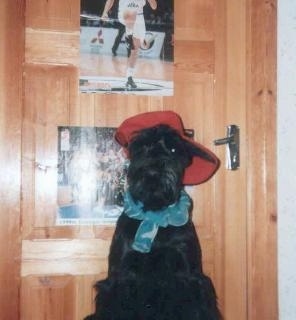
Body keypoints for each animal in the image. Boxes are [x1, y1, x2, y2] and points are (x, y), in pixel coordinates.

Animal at [85, 112, 222, 320]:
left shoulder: (189, 277)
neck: (156, 214)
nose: (152, 173)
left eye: (173, 148)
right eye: (142, 146)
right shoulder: (121, 278)